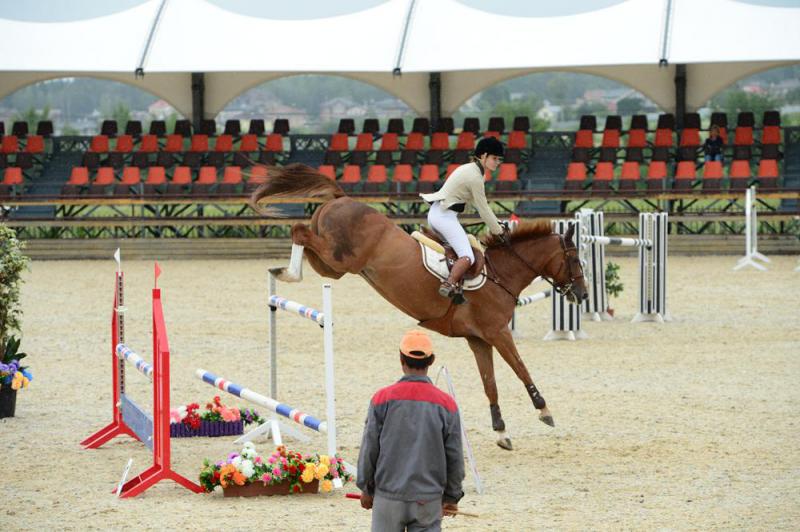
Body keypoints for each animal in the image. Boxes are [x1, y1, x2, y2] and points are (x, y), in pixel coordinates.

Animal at [249, 164, 587, 450]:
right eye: (574, 259)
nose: (582, 295)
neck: (502, 273)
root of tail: (341, 198)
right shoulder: (498, 332)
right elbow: (520, 368)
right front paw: (544, 410)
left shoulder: (478, 339)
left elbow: (490, 383)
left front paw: (502, 431)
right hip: (340, 258)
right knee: (298, 230)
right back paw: (288, 273)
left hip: (334, 266)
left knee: (304, 242)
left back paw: (282, 272)